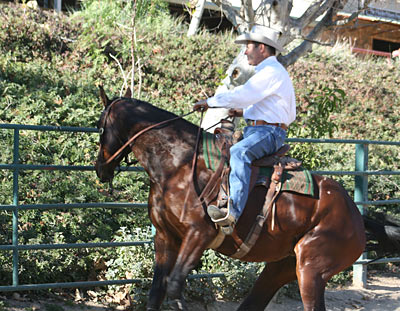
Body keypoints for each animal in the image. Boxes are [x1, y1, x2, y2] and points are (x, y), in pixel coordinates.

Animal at [94, 88, 400, 311]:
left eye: (99, 127)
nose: (100, 168)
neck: (178, 164)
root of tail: (356, 216)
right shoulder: (165, 236)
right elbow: (156, 292)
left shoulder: (199, 234)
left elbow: (174, 288)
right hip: (281, 267)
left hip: (311, 270)